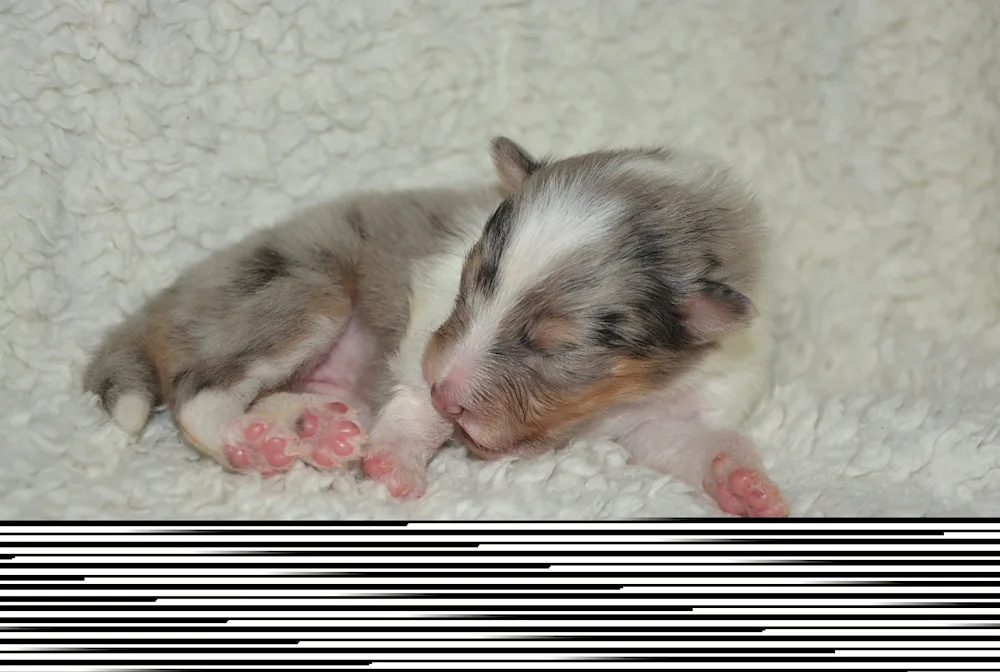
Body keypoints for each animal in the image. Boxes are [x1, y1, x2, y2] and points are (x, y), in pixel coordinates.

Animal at [84, 135, 788, 516]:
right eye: (470, 283)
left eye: (555, 344)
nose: (453, 397)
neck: (615, 399)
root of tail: (166, 297)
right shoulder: (431, 319)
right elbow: (418, 396)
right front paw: (398, 458)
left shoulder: (680, 406)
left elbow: (698, 444)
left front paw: (748, 486)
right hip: (298, 289)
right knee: (199, 393)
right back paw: (250, 442)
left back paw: (313, 431)